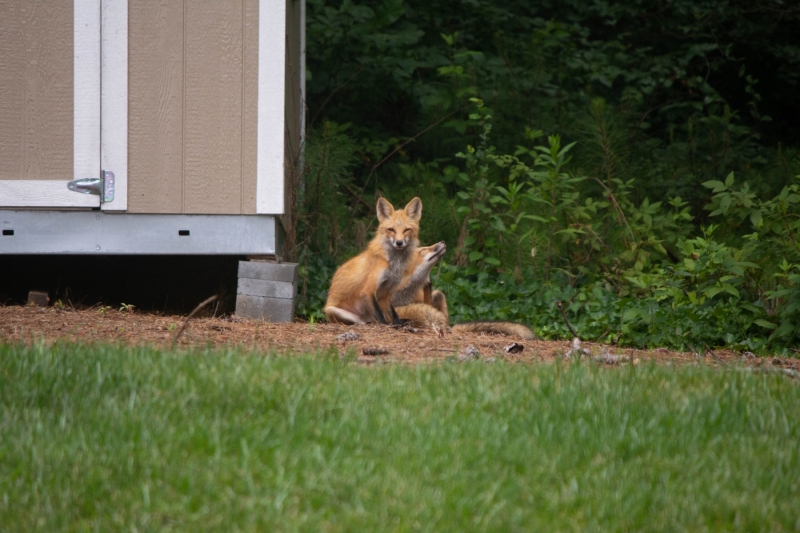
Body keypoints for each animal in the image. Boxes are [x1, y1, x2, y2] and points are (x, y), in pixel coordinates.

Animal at [324, 197, 422, 325]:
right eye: (391, 229)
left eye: (407, 230)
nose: (399, 242)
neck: (393, 264)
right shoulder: (368, 291)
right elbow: (380, 317)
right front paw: (387, 325)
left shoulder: (386, 293)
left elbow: (394, 314)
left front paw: (398, 324)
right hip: (336, 312)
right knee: (361, 322)